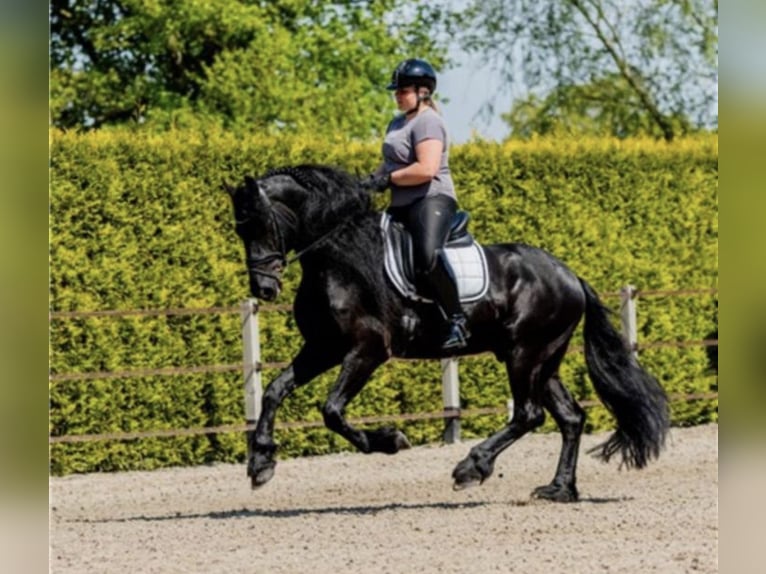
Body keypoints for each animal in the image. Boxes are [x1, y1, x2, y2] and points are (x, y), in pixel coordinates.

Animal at [225, 164, 668, 502]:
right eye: (239, 230)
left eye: (262, 223)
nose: (263, 289)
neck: (336, 259)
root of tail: (569, 275)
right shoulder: (324, 347)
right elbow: (274, 390)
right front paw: (261, 462)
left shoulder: (367, 350)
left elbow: (332, 411)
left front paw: (390, 440)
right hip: (543, 360)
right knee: (570, 418)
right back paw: (558, 489)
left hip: (525, 354)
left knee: (529, 413)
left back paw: (472, 467)